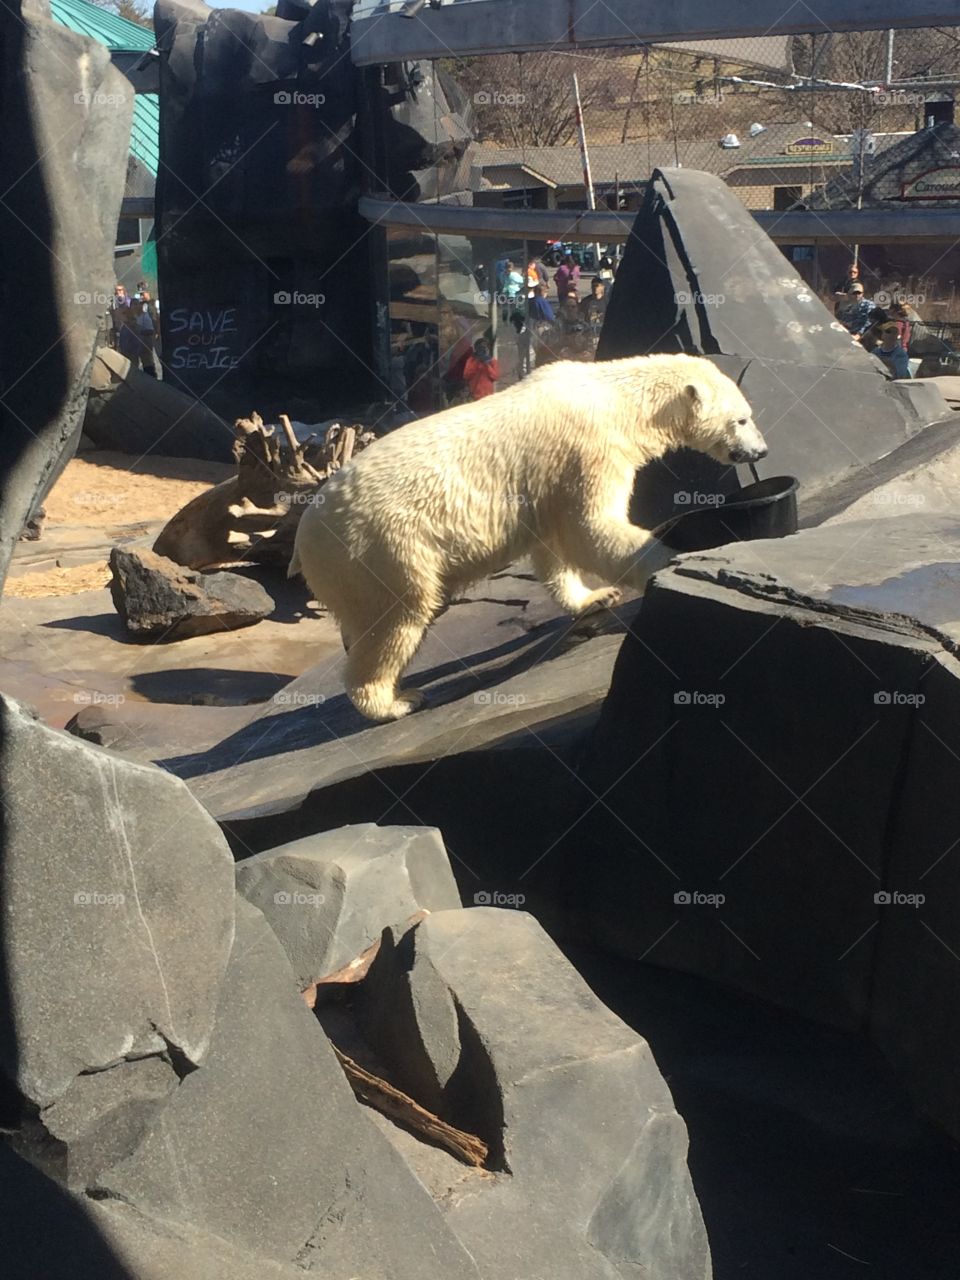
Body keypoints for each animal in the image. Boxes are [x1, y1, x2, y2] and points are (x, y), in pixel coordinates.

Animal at [290, 353, 766, 722]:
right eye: (741, 419)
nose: (760, 450)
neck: (613, 399)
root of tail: (303, 542)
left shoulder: (548, 482)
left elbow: (555, 544)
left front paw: (596, 597)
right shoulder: (587, 450)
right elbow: (590, 529)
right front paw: (673, 558)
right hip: (380, 547)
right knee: (396, 616)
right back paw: (395, 701)